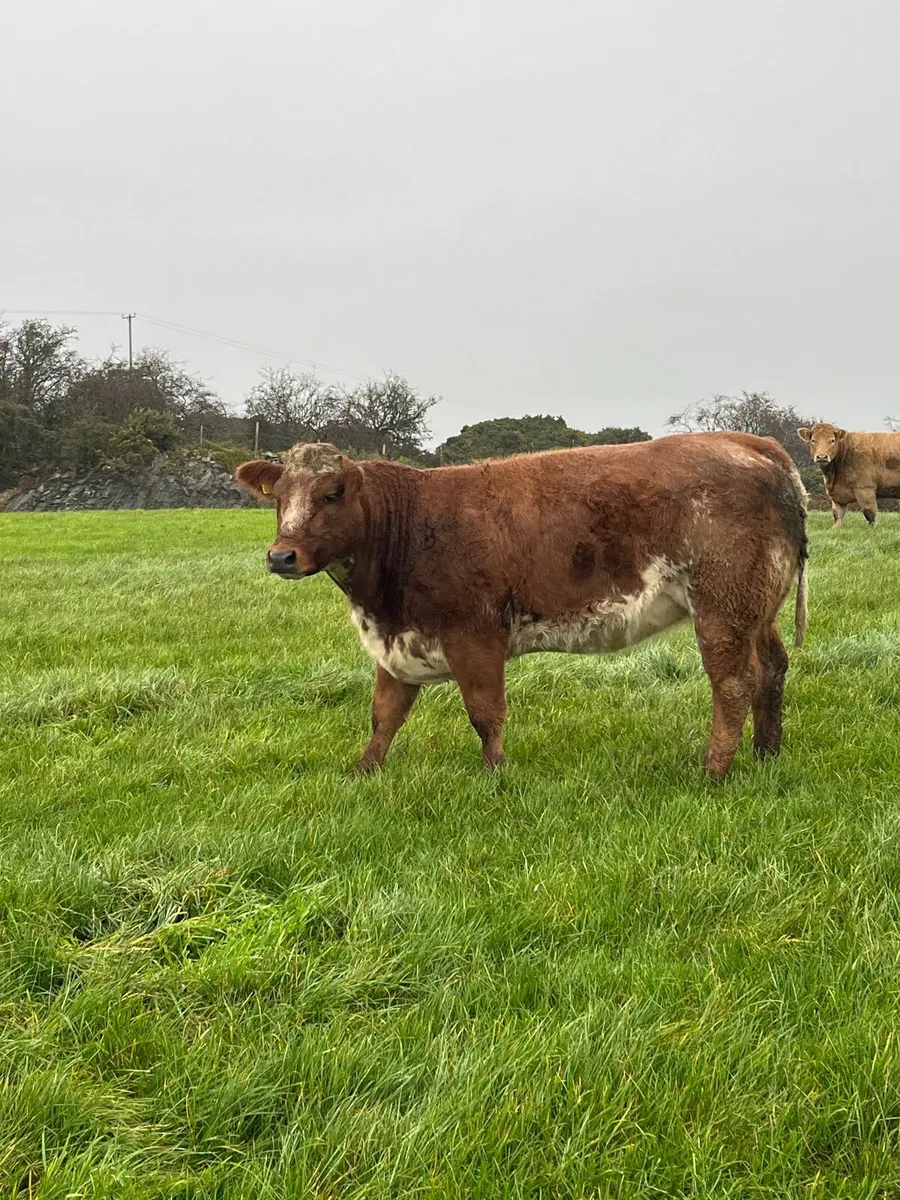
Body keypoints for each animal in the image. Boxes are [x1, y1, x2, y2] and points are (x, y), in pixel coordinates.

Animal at [235, 433, 808, 780]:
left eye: (332, 494)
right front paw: (362, 773)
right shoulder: (397, 639)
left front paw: (494, 775)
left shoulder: (474, 634)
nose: (281, 555)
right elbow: (384, 715)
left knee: (733, 681)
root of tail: (747, 441)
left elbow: (485, 713)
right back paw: (767, 754)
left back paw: (714, 770)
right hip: (757, 608)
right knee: (771, 668)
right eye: (278, 496)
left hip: (722, 606)